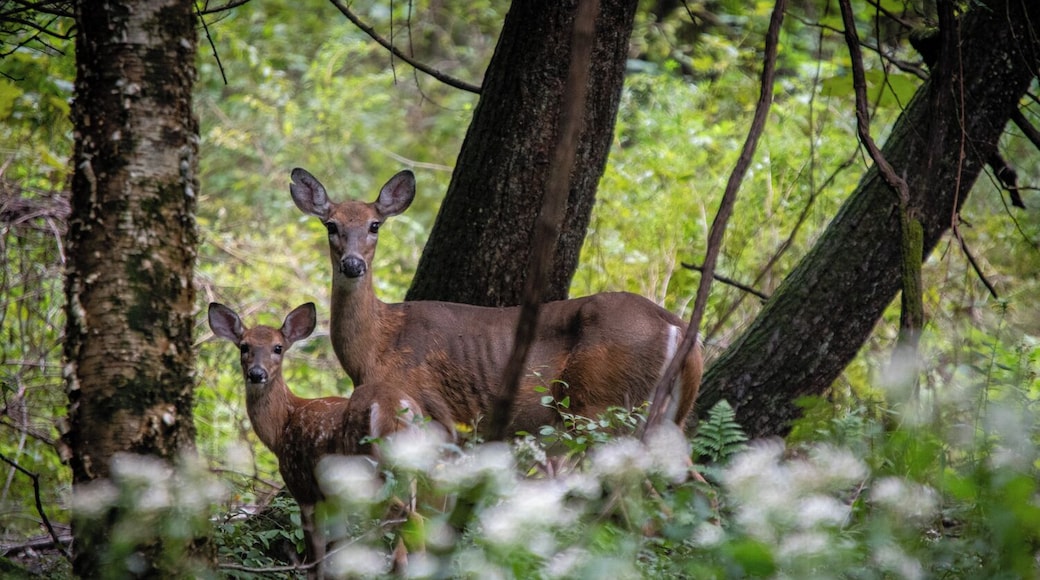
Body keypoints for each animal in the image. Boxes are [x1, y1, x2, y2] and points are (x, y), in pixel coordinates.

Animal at [207, 302, 427, 578]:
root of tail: (398, 409)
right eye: (244, 346)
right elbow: (340, 553)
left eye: (278, 347)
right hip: (410, 474)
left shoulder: (304, 489)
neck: (282, 426)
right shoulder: (335, 499)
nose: (257, 374)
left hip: (370, 469)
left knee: (411, 520)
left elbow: (317, 559)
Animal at [289, 168, 703, 438]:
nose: (352, 264)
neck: (379, 344)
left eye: (375, 225)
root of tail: (677, 326)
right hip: (667, 416)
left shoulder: (427, 404)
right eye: (331, 225)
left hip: (600, 405)